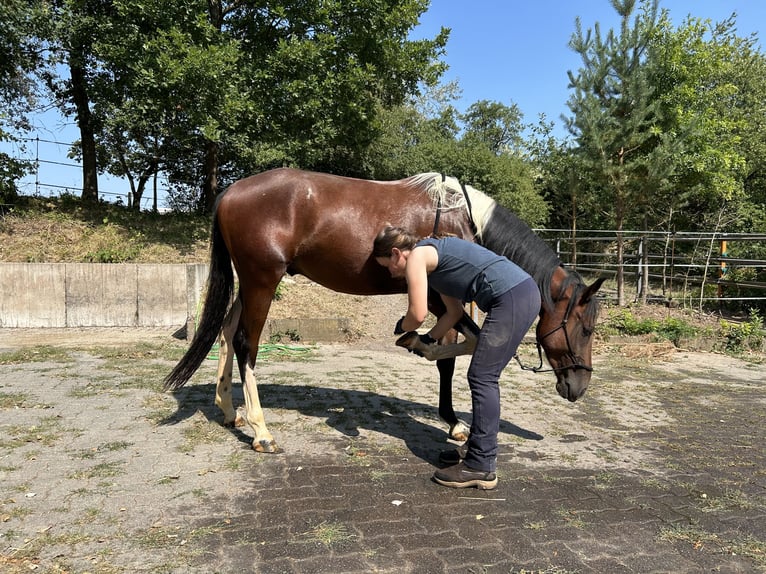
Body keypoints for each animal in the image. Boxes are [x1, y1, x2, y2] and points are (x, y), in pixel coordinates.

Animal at [164, 168, 604, 453]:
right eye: (584, 328)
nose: (579, 386)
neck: (462, 220)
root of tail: (230, 192)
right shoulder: (438, 297)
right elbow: (466, 345)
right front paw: (429, 366)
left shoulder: (445, 301)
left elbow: (452, 355)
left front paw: (452, 417)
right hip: (262, 282)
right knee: (245, 343)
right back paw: (260, 430)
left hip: (251, 284)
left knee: (224, 331)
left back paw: (228, 410)